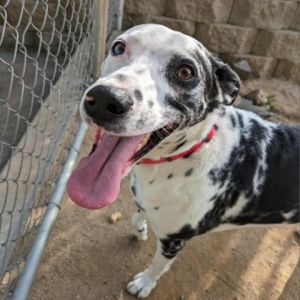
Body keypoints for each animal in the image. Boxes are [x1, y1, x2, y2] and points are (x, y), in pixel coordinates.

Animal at [67, 24, 298, 298]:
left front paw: (144, 283)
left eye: (186, 72)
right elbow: (138, 214)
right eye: (119, 47)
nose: (104, 99)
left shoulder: (174, 240)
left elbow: (158, 266)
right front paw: (140, 227)